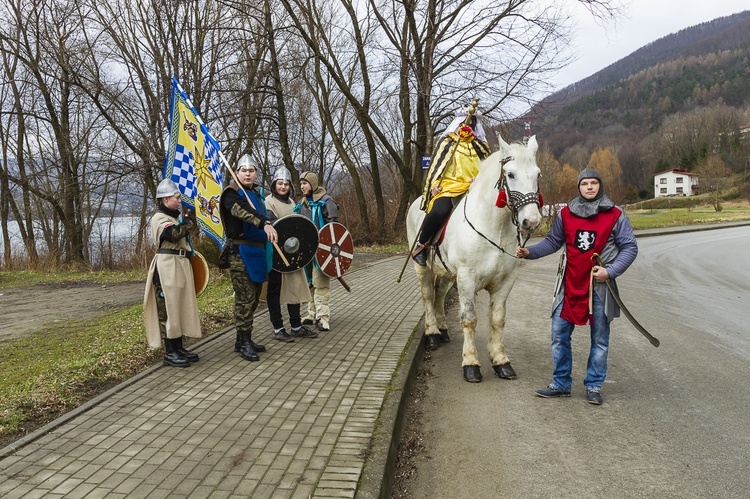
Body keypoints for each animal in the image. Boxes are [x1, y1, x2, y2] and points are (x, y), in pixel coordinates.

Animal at [408, 135, 544, 380]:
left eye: (537, 174)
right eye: (510, 174)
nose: (532, 221)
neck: (494, 226)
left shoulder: (505, 281)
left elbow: (497, 319)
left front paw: (501, 361)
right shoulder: (466, 278)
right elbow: (469, 319)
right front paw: (471, 363)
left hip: (446, 272)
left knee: (439, 294)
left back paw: (443, 329)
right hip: (421, 267)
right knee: (427, 295)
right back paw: (432, 333)